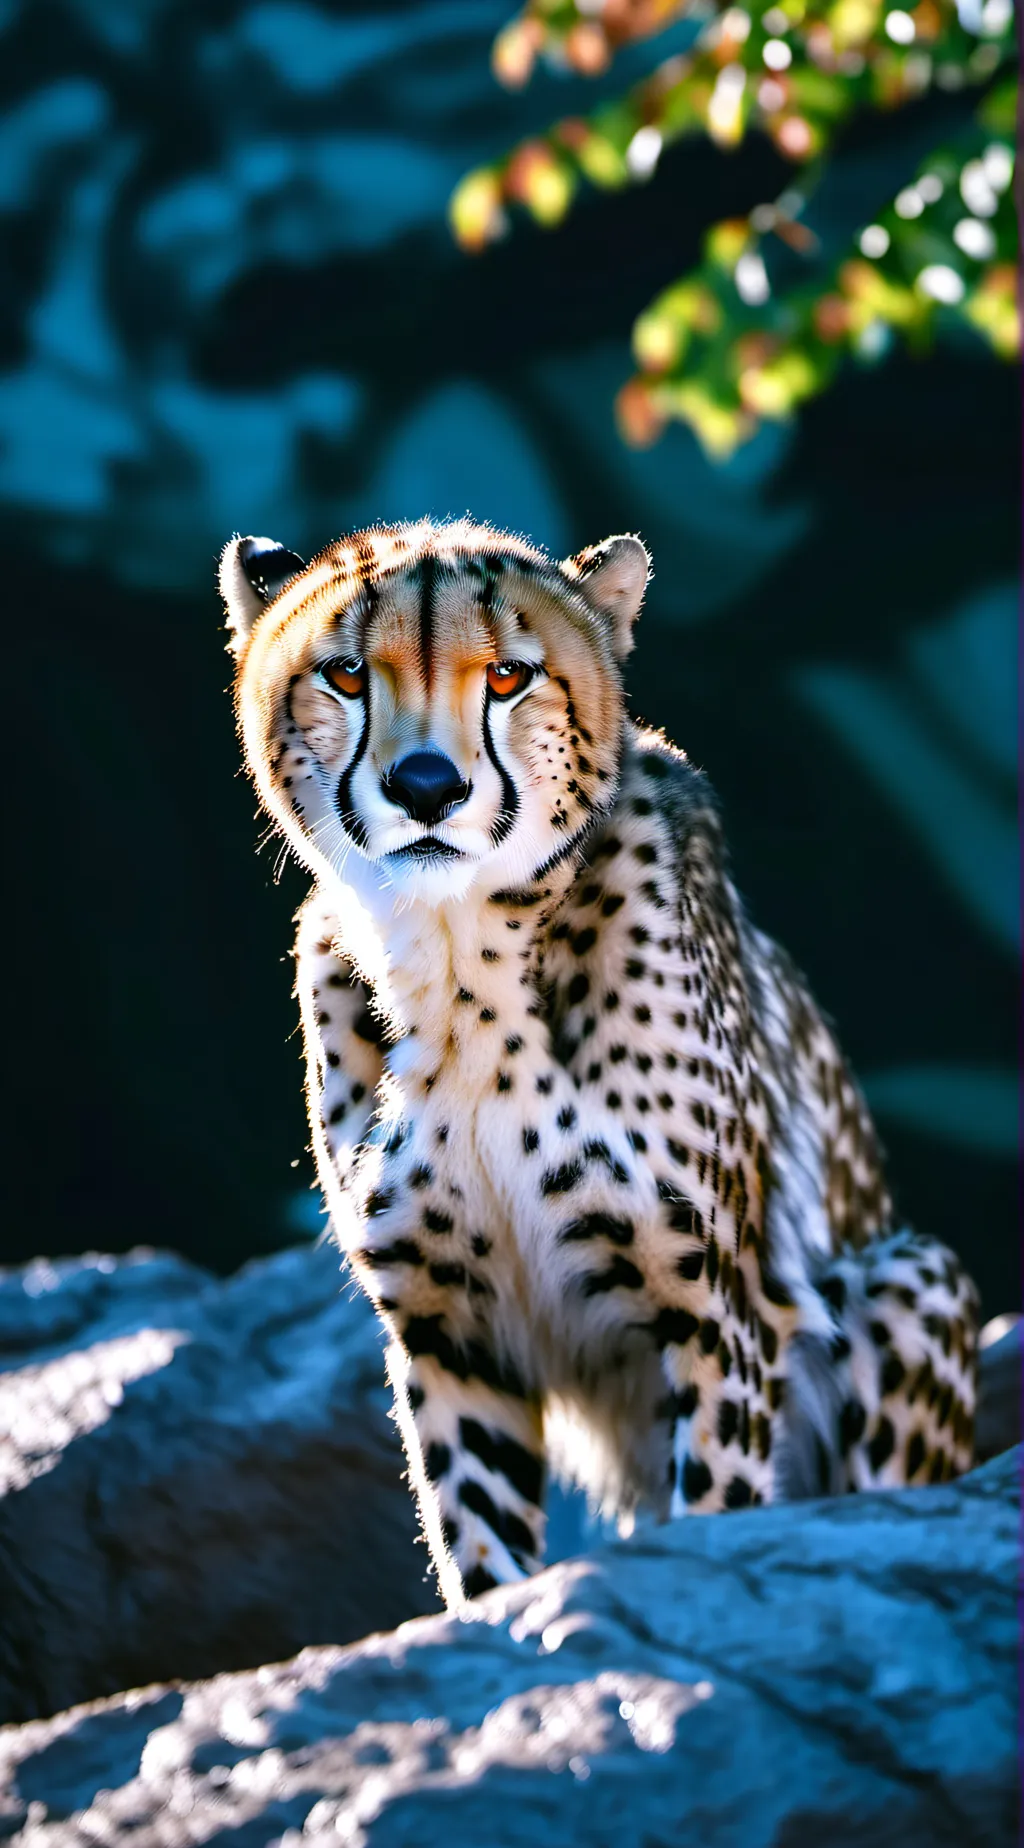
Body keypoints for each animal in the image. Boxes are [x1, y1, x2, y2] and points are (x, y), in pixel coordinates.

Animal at [220, 516, 977, 1606]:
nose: (425, 788)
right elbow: (482, 1562)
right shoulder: (450, 1334)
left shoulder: (717, 1316)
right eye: (349, 673)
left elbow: (711, 1524)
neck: (457, 961)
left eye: (508, 675)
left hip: (908, 1274)